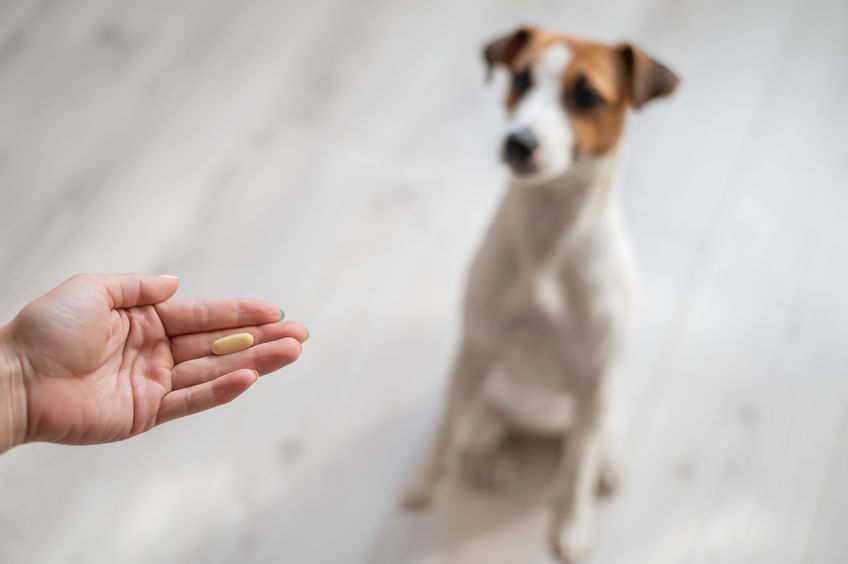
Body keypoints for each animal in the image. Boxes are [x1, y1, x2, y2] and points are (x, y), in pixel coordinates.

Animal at [404, 25, 684, 560]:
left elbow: (575, 471)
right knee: (473, 430)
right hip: (485, 401)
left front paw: (570, 526)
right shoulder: (474, 350)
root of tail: (534, 426)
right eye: (520, 79)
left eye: (588, 96)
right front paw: (426, 482)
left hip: (604, 407)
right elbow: (447, 428)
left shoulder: (595, 377)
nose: (519, 141)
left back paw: (607, 467)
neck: (547, 240)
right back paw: (489, 459)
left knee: (589, 448)